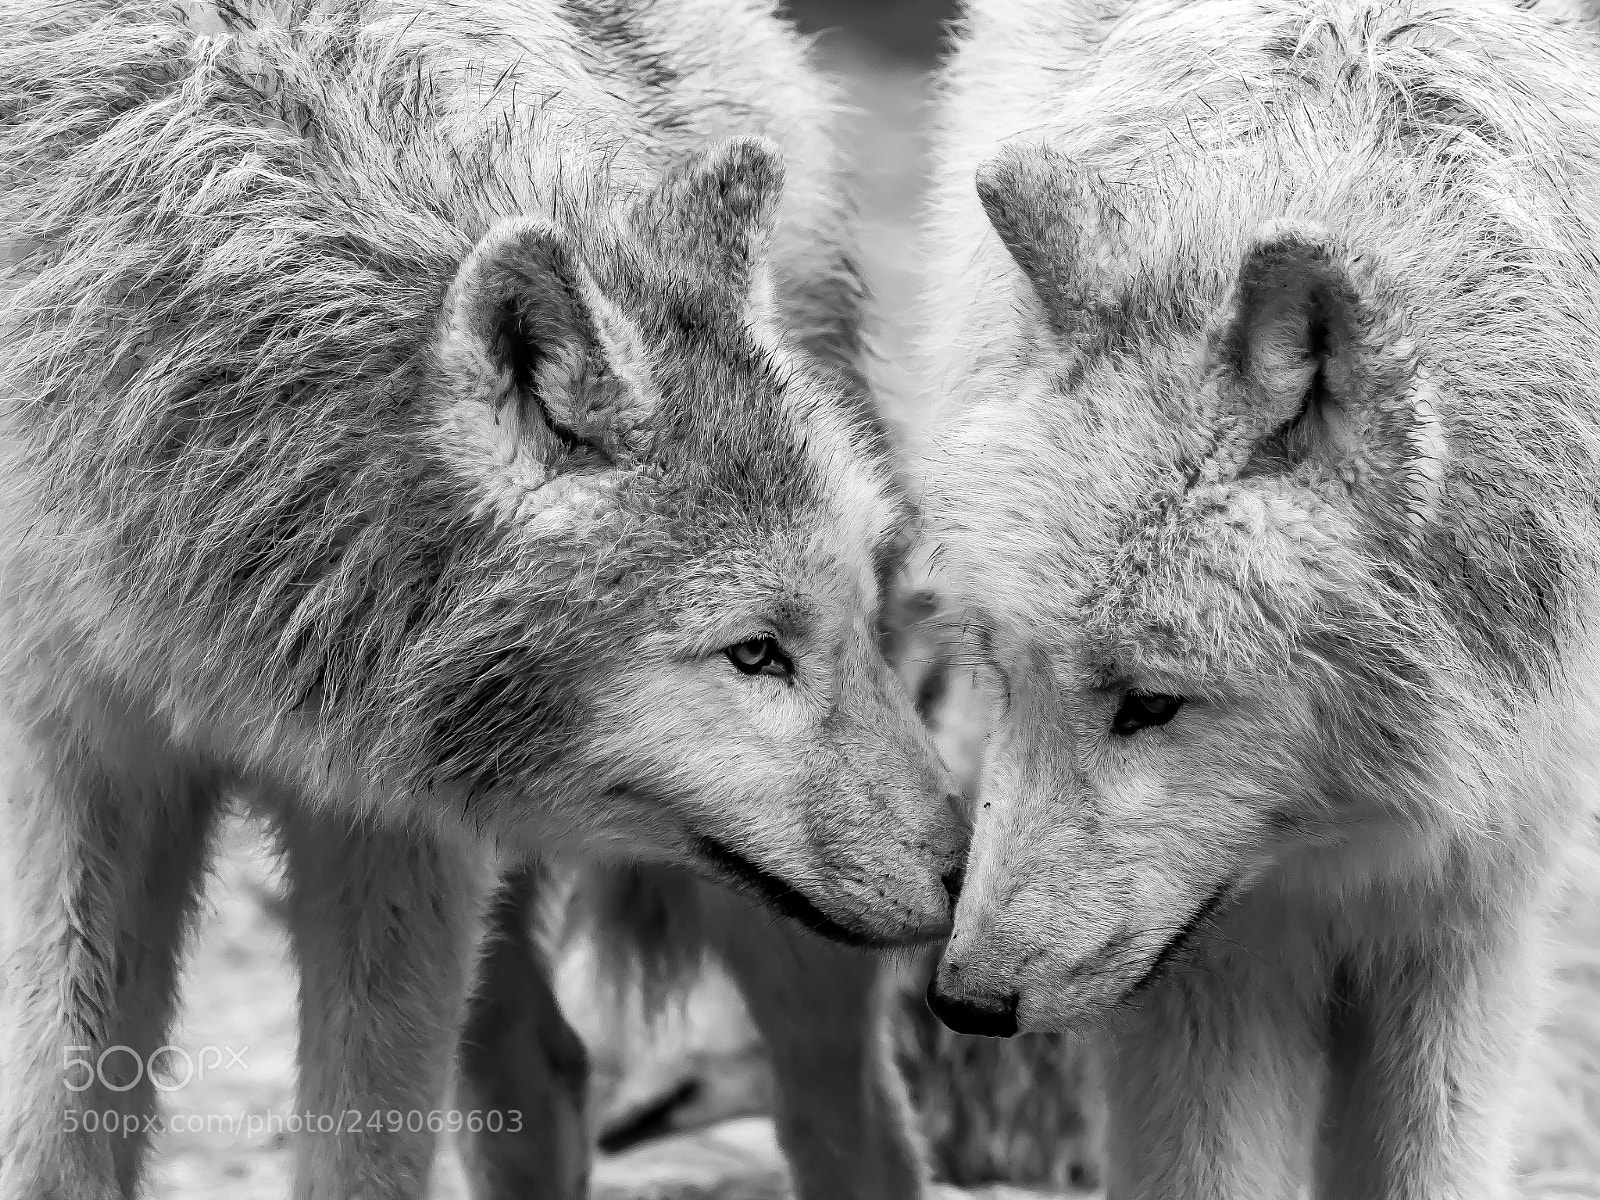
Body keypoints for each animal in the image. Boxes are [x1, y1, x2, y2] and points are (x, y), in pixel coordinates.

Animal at [0, 2, 968, 1198]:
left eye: (839, 626)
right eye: (753, 652)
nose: (971, 876)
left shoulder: (390, 827)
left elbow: (363, 1157)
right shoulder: (79, 766)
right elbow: (58, 1131)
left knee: (853, 1119)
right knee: (546, 1073)